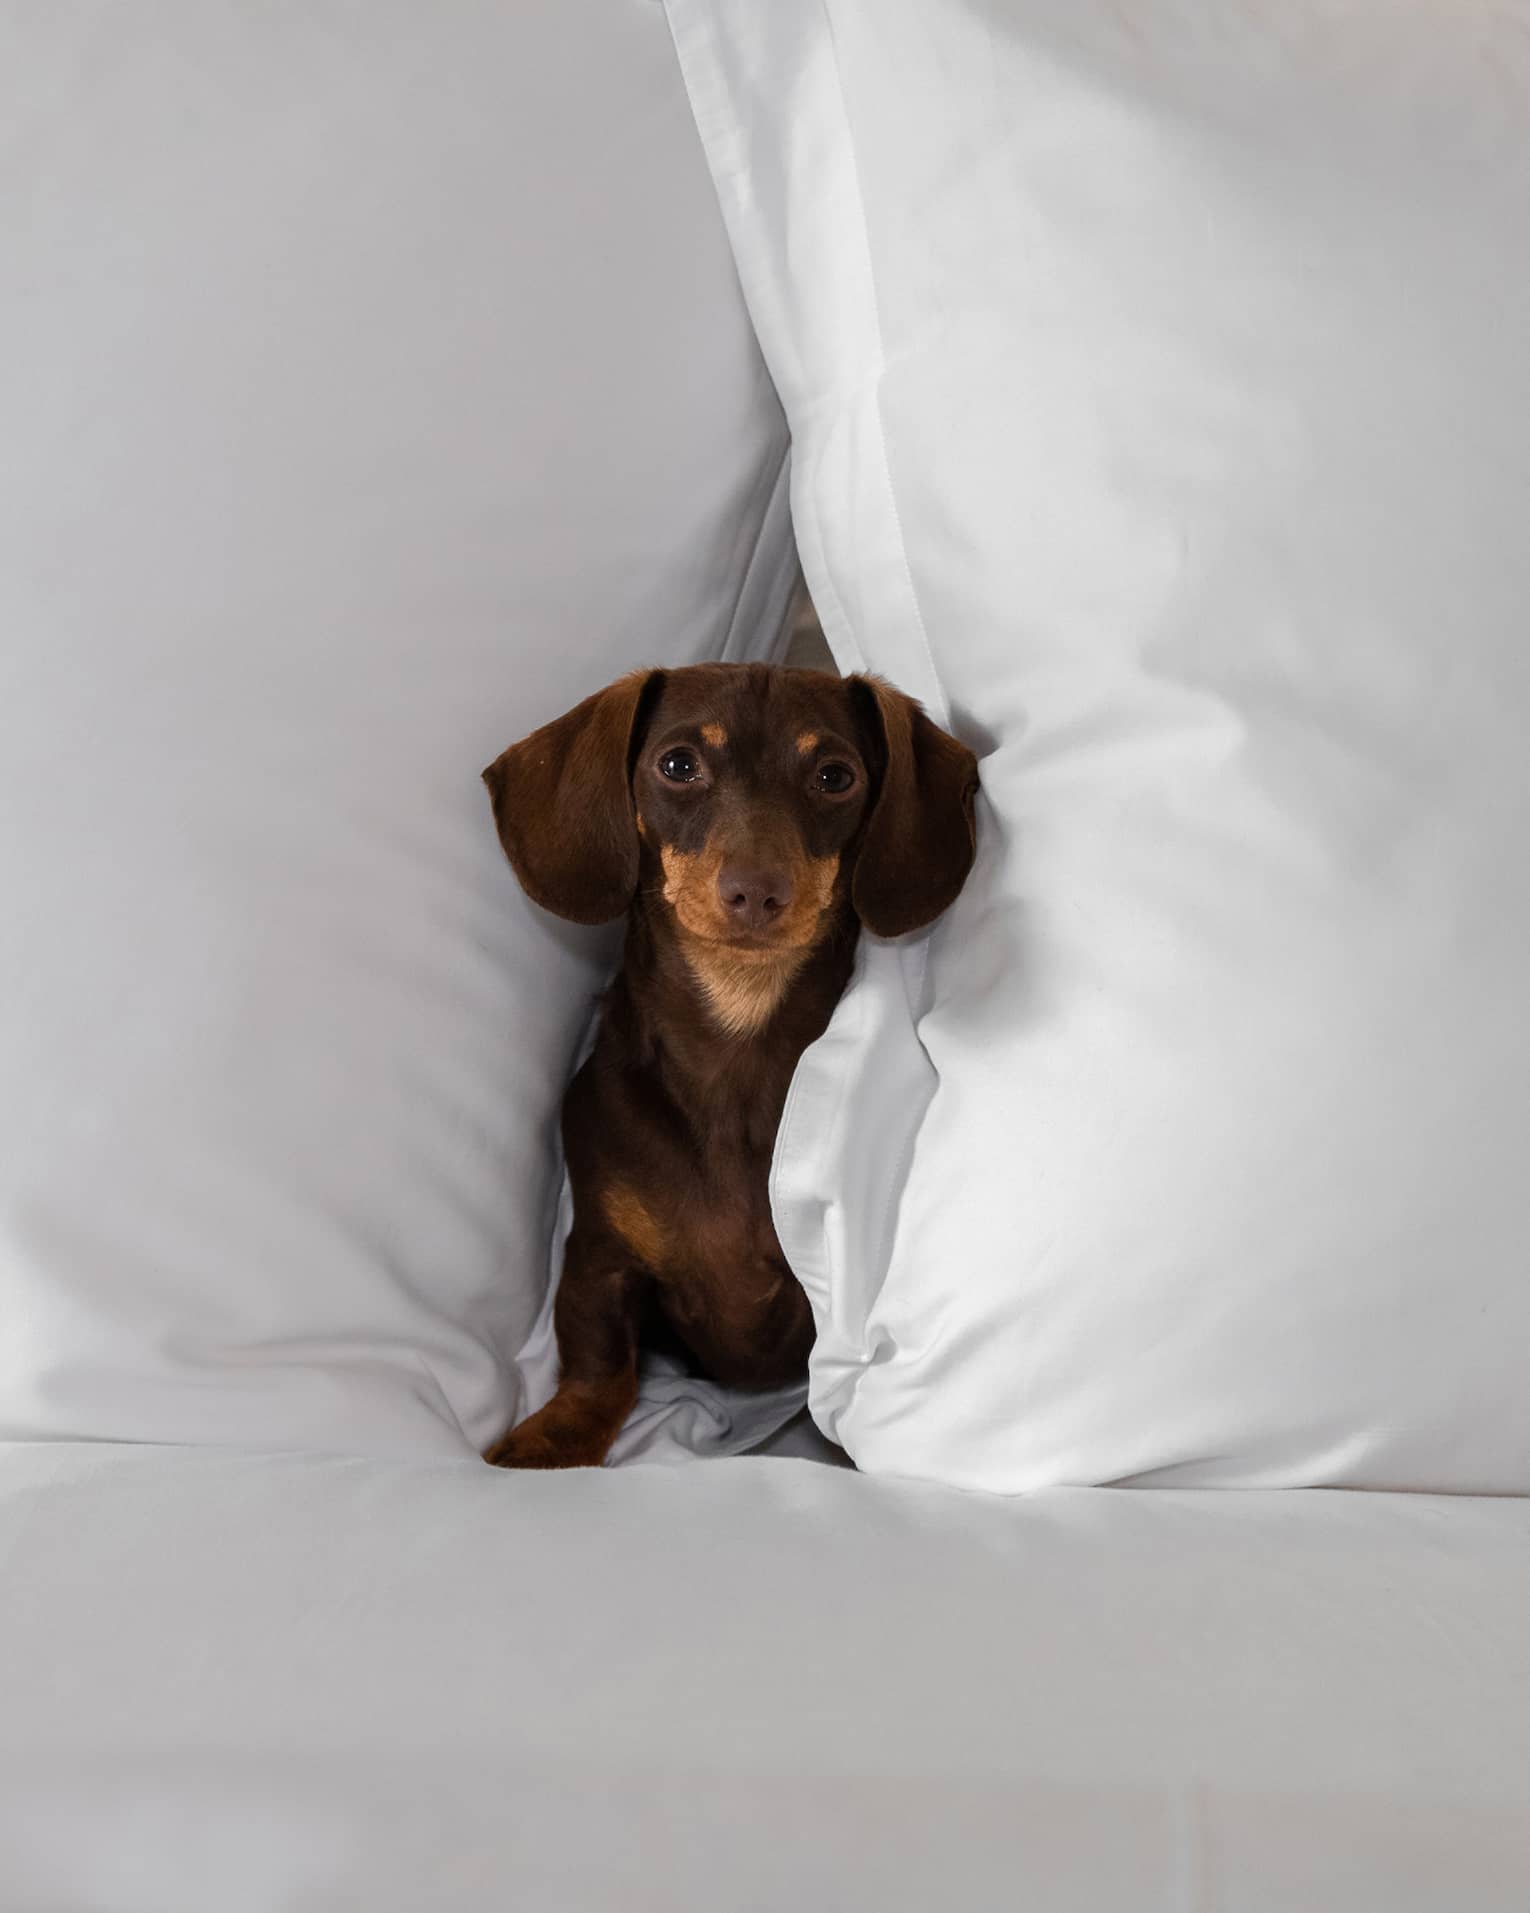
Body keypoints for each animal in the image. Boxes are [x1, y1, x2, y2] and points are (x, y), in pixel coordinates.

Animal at [481, 665, 979, 1469]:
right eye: (678, 764)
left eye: (835, 776)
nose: (756, 891)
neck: (736, 1046)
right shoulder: (597, 1256)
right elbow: (600, 1364)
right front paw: (553, 1438)